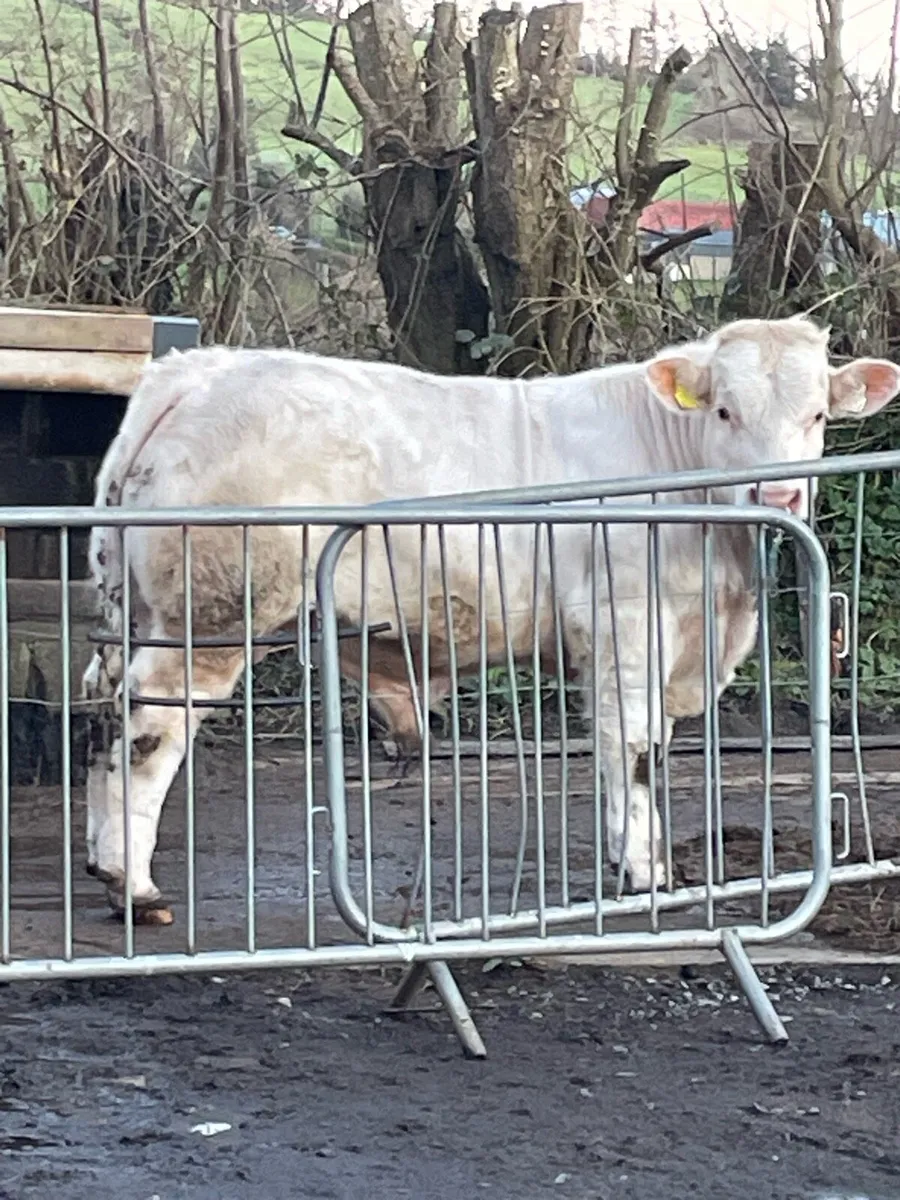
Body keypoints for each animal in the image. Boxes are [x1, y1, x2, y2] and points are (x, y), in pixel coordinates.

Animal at [81, 316, 900, 920]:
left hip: (131, 604)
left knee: (101, 705)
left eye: (817, 414)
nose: (780, 496)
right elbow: (633, 749)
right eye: (726, 410)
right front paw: (645, 871)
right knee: (149, 726)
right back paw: (134, 884)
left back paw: (98, 859)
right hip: (212, 612)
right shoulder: (628, 631)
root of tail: (196, 373)